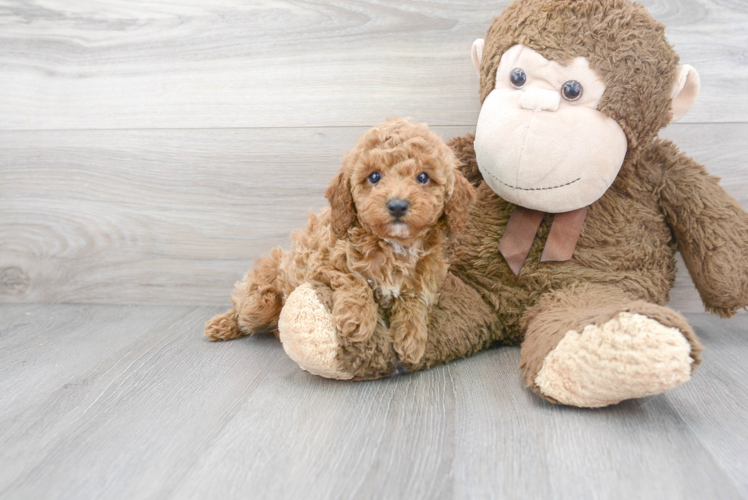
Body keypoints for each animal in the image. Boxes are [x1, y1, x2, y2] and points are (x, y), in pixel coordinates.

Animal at [205, 119, 474, 366]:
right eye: (374, 176)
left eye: (423, 177)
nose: (397, 205)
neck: (394, 245)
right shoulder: (322, 263)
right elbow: (354, 279)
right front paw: (357, 320)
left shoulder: (425, 277)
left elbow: (415, 300)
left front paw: (412, 337)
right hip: (261, 300)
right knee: (242, 312)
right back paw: (221, 324)